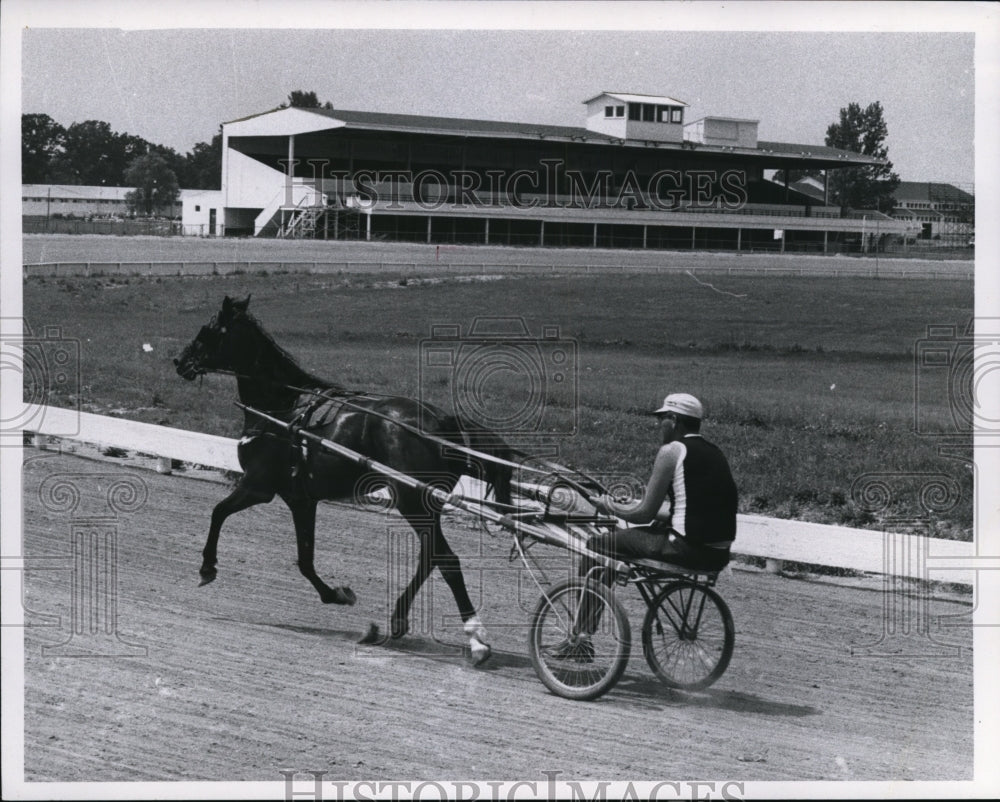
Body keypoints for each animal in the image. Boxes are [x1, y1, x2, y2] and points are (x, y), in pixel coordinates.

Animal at [173, 294, 512, 664]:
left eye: (207, 331)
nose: (179, 361)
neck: (283, 411)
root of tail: (443, 422)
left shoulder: (258, 486)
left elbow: (218, 512)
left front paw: (207, 567)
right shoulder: (301, 499)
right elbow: (305, 559)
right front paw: (337, 594)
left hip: (412, 500)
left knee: (445, 559)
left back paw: (476, 638)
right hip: (422, 503)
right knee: (430, 557)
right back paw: (397, 620)